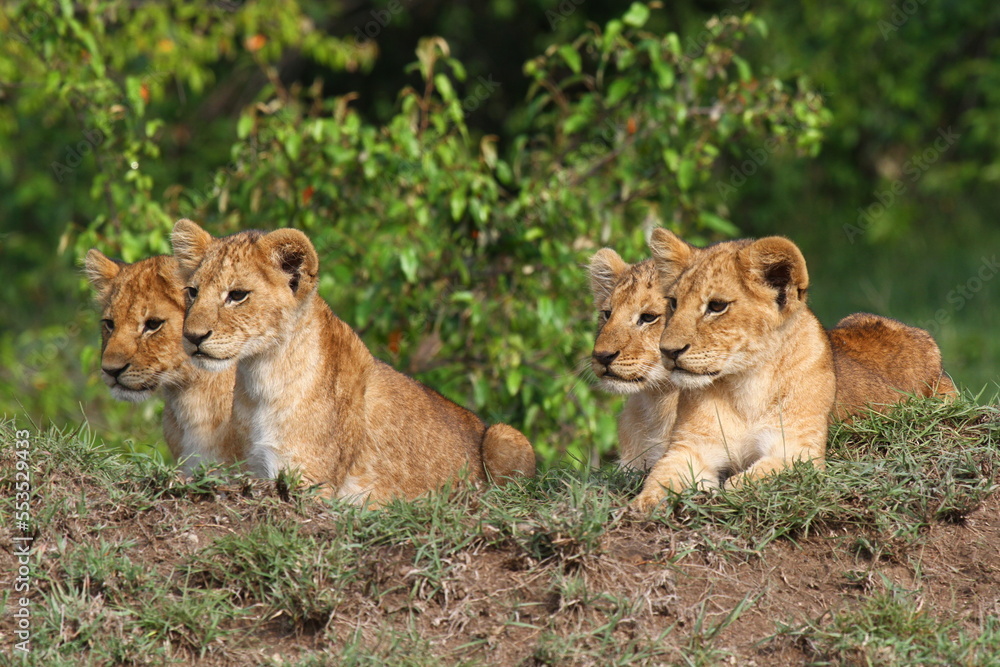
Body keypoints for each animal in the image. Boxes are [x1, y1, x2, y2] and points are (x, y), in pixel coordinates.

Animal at [170, 219, 535, 506]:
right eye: (193, 292)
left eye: (237, 295)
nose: (192, 337)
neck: (260, 377)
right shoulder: (256, 468)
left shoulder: (309, 482)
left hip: (504, 434)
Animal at [629, 229, 837, 512]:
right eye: (673, 302)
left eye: (717, 306)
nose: (668, 351)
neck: (748, 382)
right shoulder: (690, 447)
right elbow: (662, 475)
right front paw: (645, 503)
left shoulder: (800, 449)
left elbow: (766, 473)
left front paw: (730, 490)